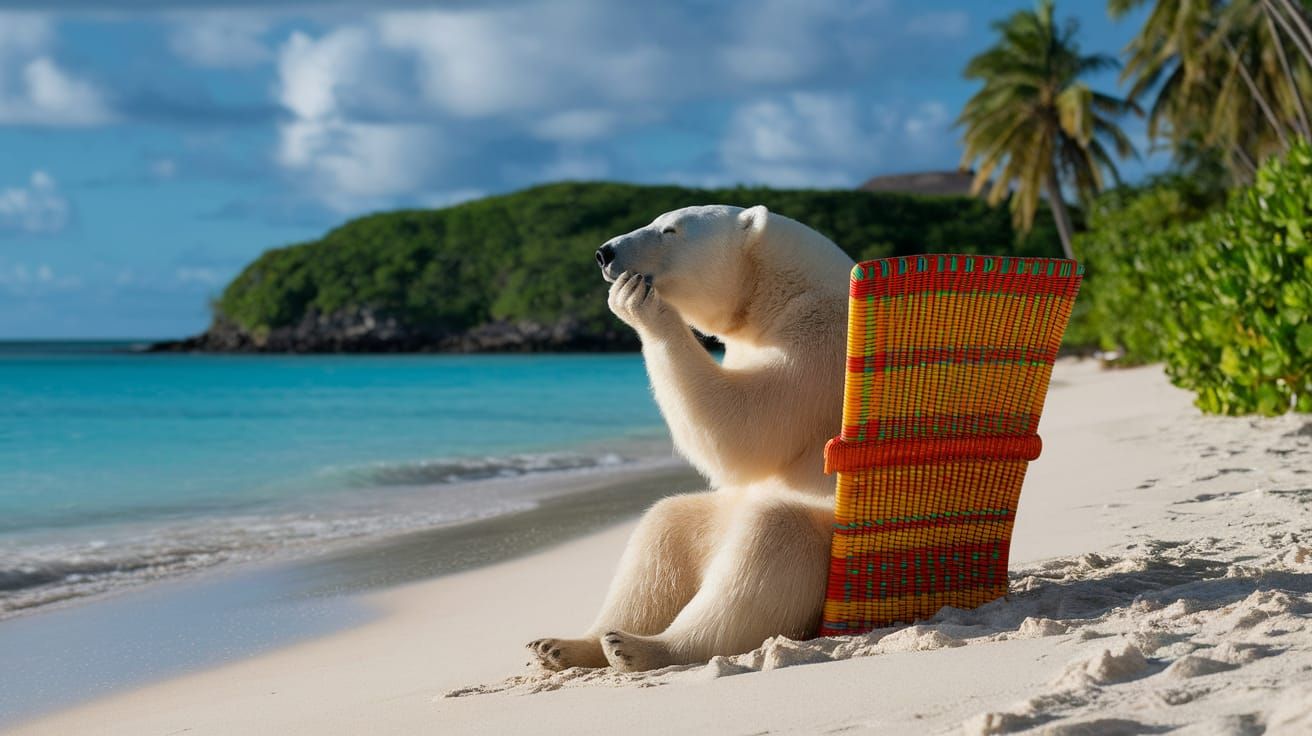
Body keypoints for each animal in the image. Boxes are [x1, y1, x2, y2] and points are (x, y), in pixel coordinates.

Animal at [527, 204, 854, 672]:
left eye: (669, 229)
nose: (605, 253)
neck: (782, 287)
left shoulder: (818, 341)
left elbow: (748, 429)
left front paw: (638, 303)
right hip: (714, 524)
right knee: (665, 529)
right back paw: (566, 645)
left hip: (831, 540)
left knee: (771, 541)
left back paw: (643, 647)